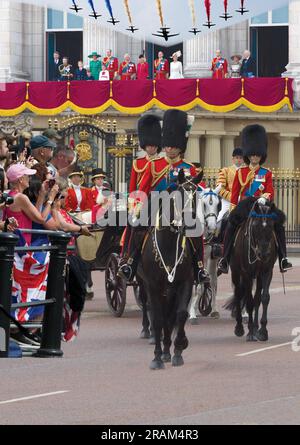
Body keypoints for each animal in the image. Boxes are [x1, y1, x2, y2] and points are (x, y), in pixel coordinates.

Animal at [189, 186, 224, 320]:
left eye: (218, 205)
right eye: (204, 205)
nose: (212, 226)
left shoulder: (208, 257)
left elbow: (206, 283)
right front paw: (191, 312)